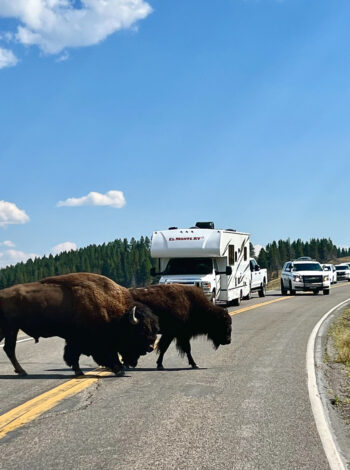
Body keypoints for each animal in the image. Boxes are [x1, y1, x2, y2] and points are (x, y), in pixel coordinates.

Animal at [0, 274, 159, 376]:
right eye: (141, 330)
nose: (151, 347)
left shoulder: (74, 340)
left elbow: (72, 355)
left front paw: (78, 371)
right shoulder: (89, 341)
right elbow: (79, 354)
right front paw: (118, 369)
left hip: (7, 330)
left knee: (8, 349)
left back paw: (21, 371)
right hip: (11, 329)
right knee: (10, 349)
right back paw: (22, 371)